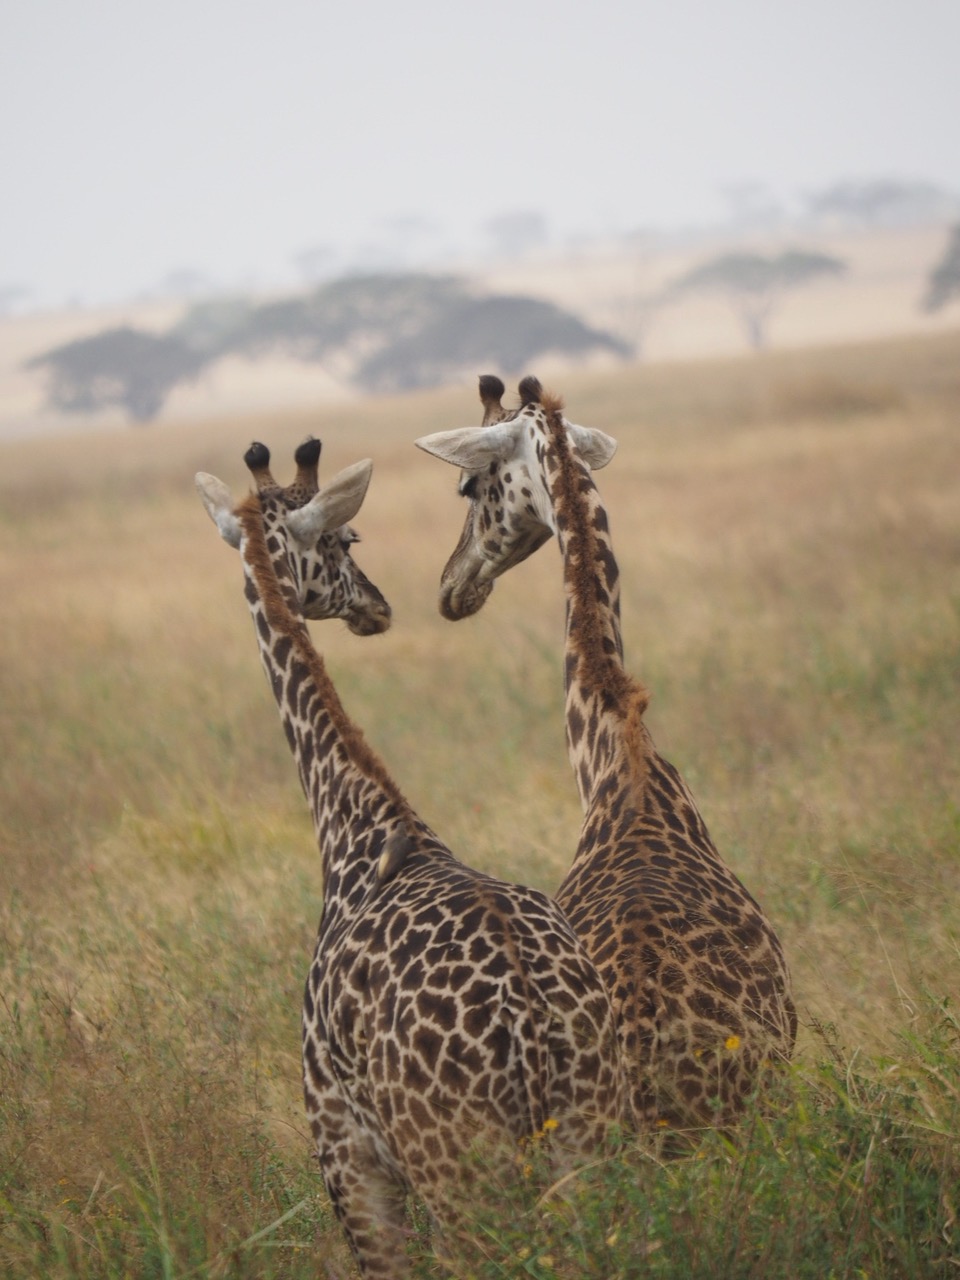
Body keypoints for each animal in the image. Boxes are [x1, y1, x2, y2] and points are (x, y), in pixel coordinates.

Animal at [197, 437, 632, 1269]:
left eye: (348, 536)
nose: (377, 606)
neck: (356, 825)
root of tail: (533, 1025)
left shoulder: (345, 1157)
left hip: (463, 1175)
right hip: (589, 1145)